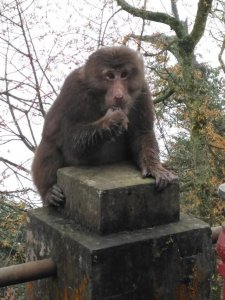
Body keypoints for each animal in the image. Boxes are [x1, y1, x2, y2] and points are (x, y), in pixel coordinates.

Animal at [31, 46, 177, 206]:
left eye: (124, 74)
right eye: (110, 76)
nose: (119, 95)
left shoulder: (142, 89)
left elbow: (142, 133)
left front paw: (155, 168)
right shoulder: (73, 89)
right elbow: (71, 144)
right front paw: (111, 121)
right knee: (49, 145)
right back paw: (49, 193)